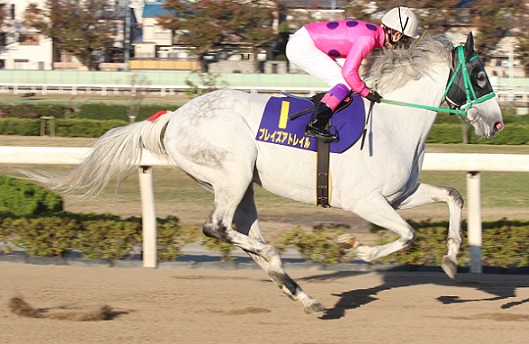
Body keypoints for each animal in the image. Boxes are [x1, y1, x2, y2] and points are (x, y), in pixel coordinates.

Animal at [27, 33, 504, 314]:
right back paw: (280, 262)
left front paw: (450, 261)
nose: (498, 124)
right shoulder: (365, 200)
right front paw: (356, 248)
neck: (393, 121)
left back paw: (302, 293)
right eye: (480, 75)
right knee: (217, 228)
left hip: (242, 187)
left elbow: (453, 196)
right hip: (232, 174)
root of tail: (174, 116)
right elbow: (407, 234)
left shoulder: (399, 194)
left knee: (243, 235)